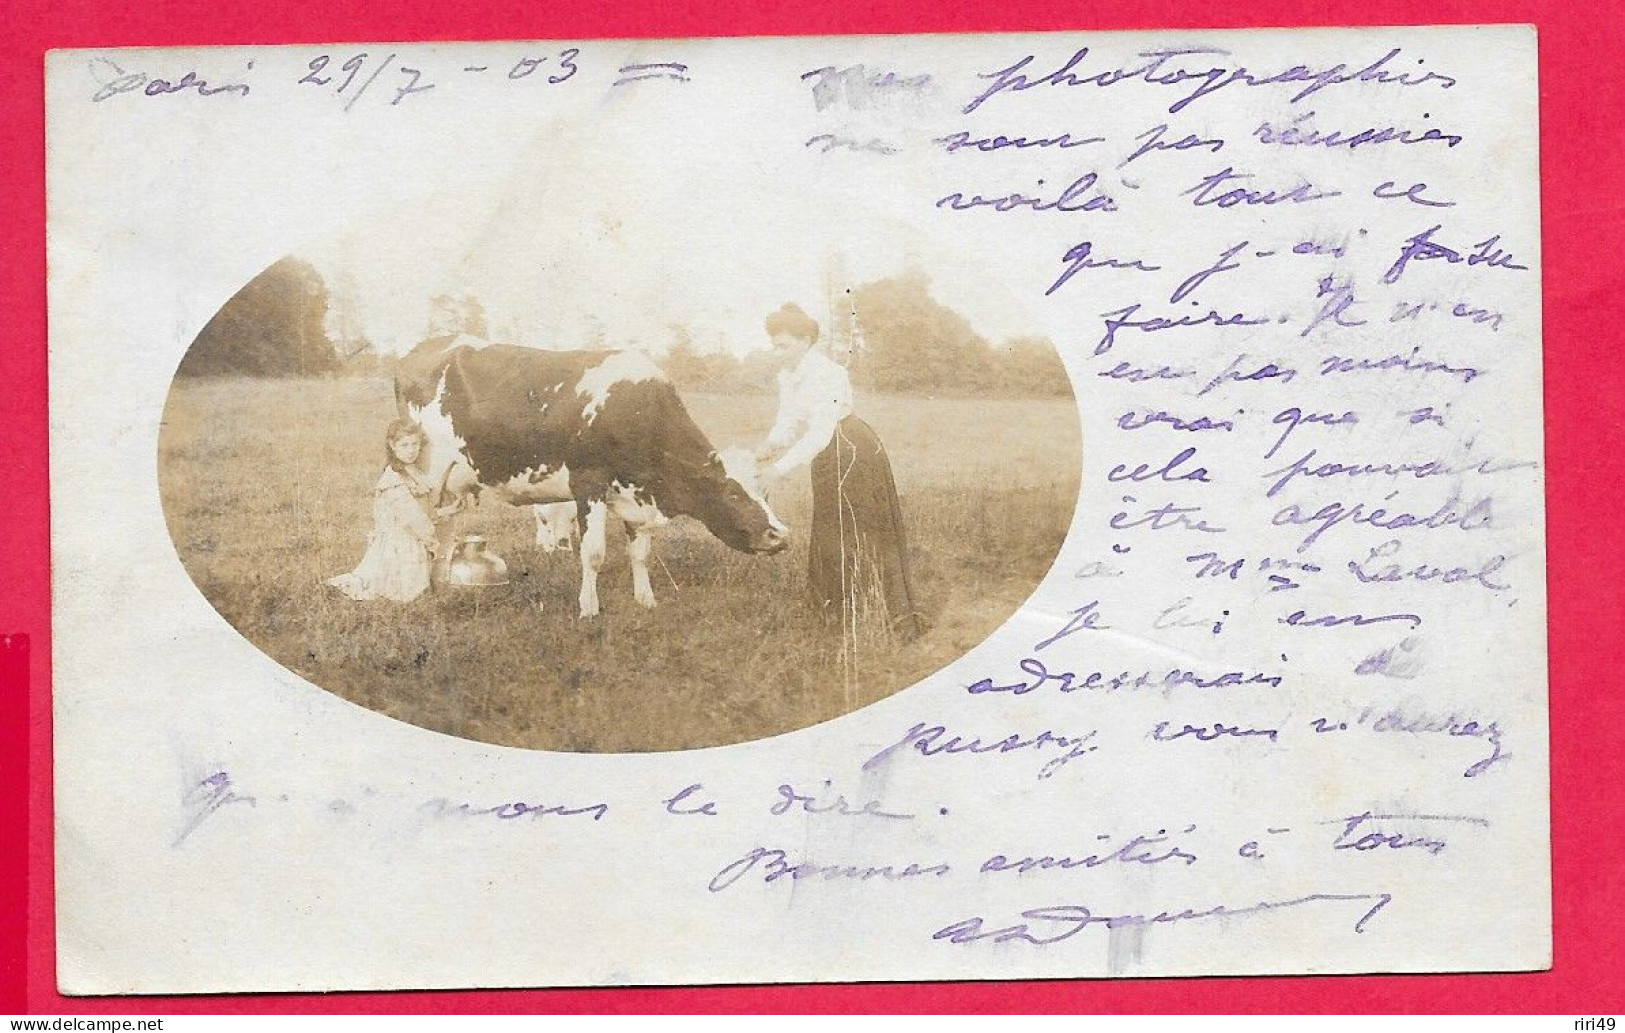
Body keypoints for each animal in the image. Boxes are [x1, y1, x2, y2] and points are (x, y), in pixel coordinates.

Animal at [393, 336, 786, 613]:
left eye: (766, 492)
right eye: (731, 492)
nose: (780, 535)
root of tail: (419, 348)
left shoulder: (635, 494)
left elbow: (640, 553)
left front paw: (646, 600)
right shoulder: (589, 485)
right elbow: (593, 553)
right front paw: (589, 608)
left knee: (444, 528)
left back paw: (442, 582)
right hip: (427, 471)